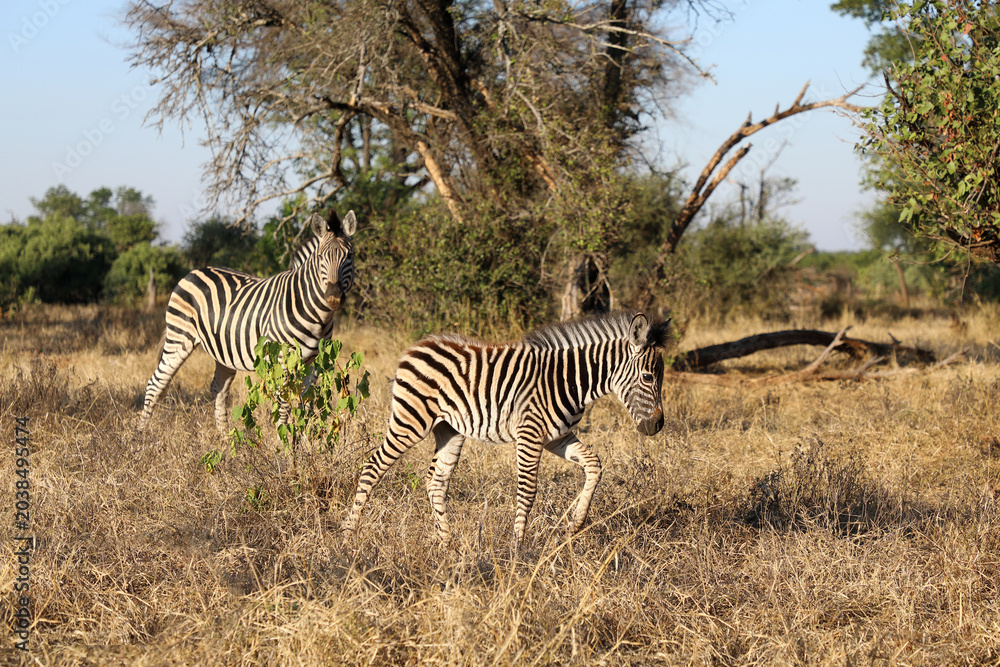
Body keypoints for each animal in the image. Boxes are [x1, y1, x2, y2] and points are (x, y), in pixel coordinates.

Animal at [139, 209, 357, 434]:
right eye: (321, 257)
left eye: (349, 256)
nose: (333, 297)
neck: (316, 315)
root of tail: (194, 271)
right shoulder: (281, 361)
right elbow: (284, 406)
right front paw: (282, 440)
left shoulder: (313, 363)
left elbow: (306, 403)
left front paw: (303, 440)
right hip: (179, 337)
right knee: (156, 384)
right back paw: (141, 433)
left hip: (223, 351)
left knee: (218, 388)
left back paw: (225, 438)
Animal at [341, 311, 670, 545]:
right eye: (648, 377)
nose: (657, 425)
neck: (568, 380)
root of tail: (416, 346)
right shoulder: (530, 434)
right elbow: (527, 490)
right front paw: (518, 547)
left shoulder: (557, 437)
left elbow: (594, 464)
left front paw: (575, 521)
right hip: (410, 420)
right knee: (372, 467)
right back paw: (348, 537)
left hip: (449, 429)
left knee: (436, 482)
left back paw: (447, 544)